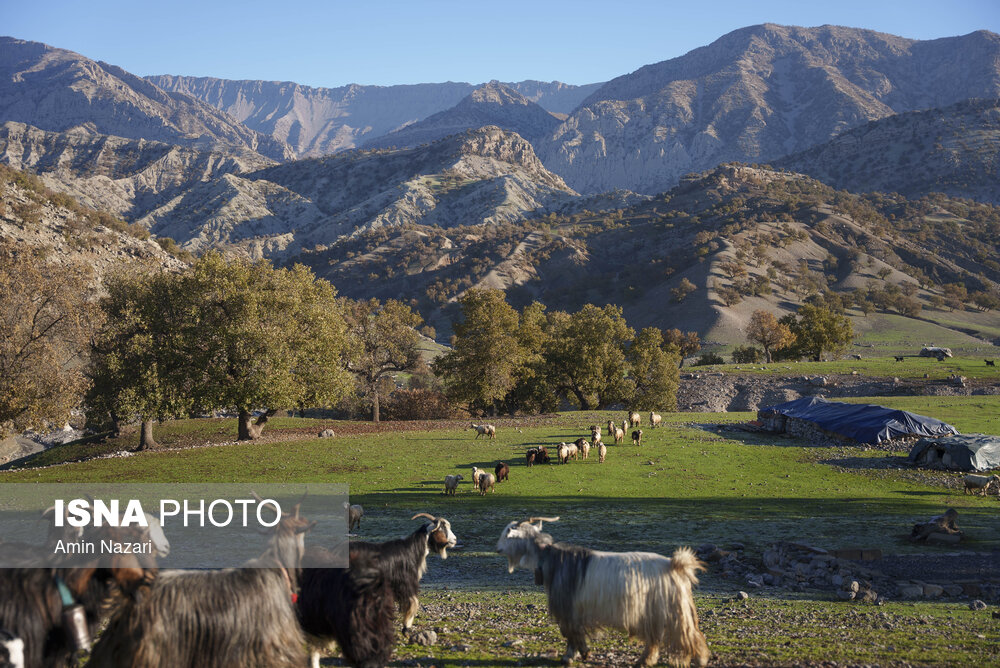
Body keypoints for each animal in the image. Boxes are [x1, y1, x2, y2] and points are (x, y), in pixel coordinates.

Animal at [496, 516, 708, 668]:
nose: (497, 549)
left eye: (507, 533)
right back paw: (644, 661)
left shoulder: (568, 608)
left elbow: (571, 634)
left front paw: (569, 657)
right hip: (656, 613)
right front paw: (583, 653)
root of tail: (675, 565)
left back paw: (700, 660)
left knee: (688, 635)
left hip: (674, 612)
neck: (550, 558)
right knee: (655, 639)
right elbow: (576, 633)